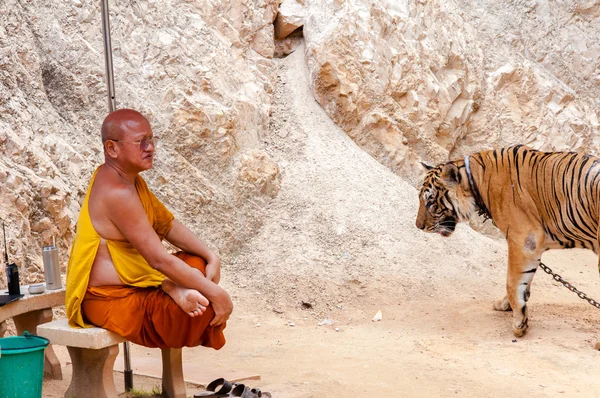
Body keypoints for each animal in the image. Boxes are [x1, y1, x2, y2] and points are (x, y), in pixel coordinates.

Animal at [414, 145, 600, 338]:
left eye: (430, 202)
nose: (418, 226)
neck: (475, 180)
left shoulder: (524, 238)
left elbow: (512, 282)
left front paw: (519, 323)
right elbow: (524, 280)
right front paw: (509, 305)